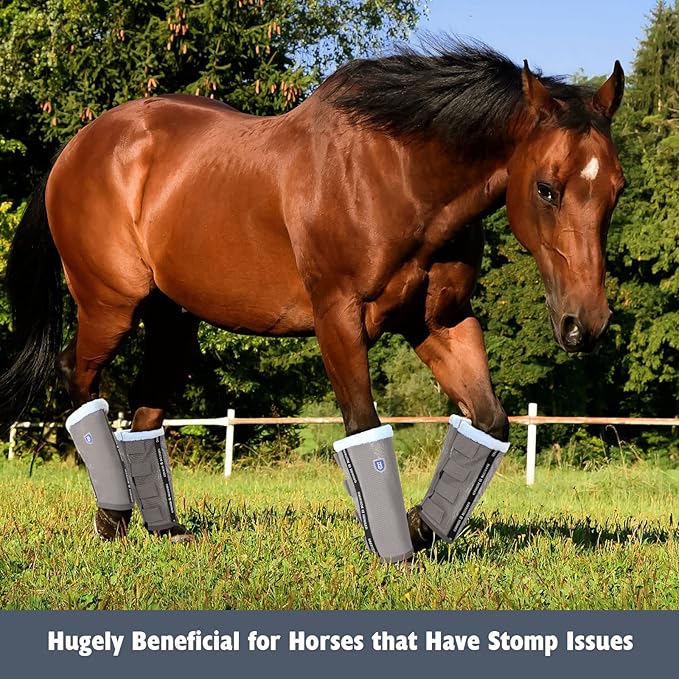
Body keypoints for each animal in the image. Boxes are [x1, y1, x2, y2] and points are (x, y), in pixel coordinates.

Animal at [0, 40, 625, 553]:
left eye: (617, 189)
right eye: (546, 188)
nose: (585, 324)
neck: (397, 176)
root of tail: (77, 147)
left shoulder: (440, 322)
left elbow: (490, 422)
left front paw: (424, 526)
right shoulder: (338, 318)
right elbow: (363, 428)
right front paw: (396, 551)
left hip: (173, 321)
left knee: (145, 412)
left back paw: (166, 530)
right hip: (110, 307)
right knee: (78, 381)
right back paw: (111, 516)